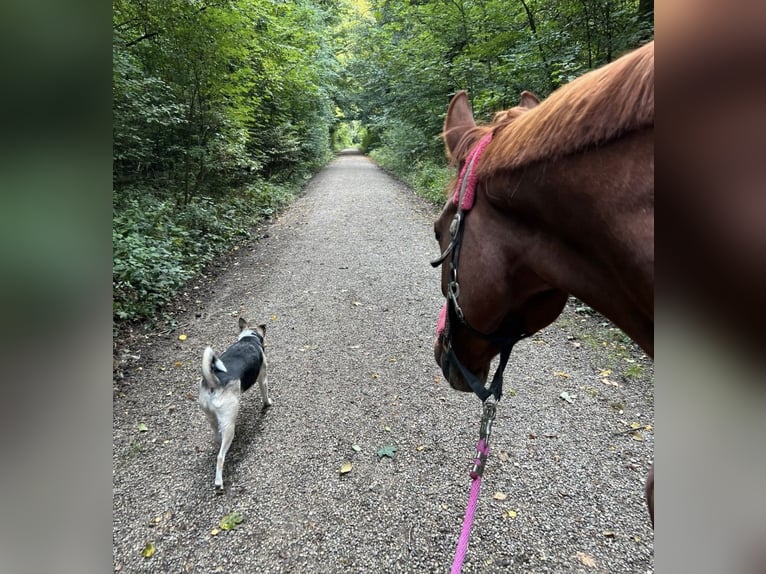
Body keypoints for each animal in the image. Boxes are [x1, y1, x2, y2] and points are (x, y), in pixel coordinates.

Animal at [198, 320, 272, 490]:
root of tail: (214, 383)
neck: (249, 338)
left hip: (211, 417)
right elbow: (265, 393)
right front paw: (268, 403)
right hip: (229, 423)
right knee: (220, 457)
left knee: (217, 437)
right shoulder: (263, 377)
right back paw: (219, 483)